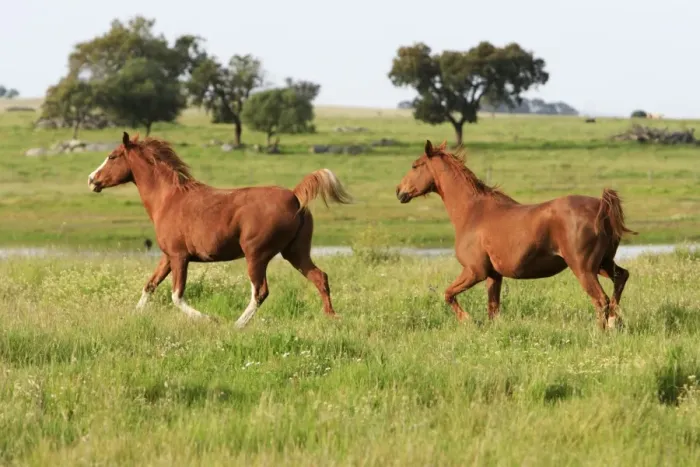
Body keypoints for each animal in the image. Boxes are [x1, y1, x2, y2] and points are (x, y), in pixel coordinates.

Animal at [87, 132, 353, 327]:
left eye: (112, 156)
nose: (91, 180)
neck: (168, 199)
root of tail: (295, 197)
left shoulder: (180, 257)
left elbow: (176, 296)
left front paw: (210, 319)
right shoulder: (167, 256)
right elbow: (150, 285)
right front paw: (132, 316)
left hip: (256, 255)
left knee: (260, 292)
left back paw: (237, 325)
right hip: (295, 252)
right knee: (319, 277)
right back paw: (331, 317)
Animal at [395, 140, 637, 330]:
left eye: (415, 165)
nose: (399, 191)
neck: (473, 212)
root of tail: (602, 207)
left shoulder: (475, 271)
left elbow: (448, 294)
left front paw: (468, 321)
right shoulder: (493, 275)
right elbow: (493, 310)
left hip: (584, 269)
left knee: (601, 300)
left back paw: (601, 332)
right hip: (603, 264)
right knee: (621, 279)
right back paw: (615, 322)